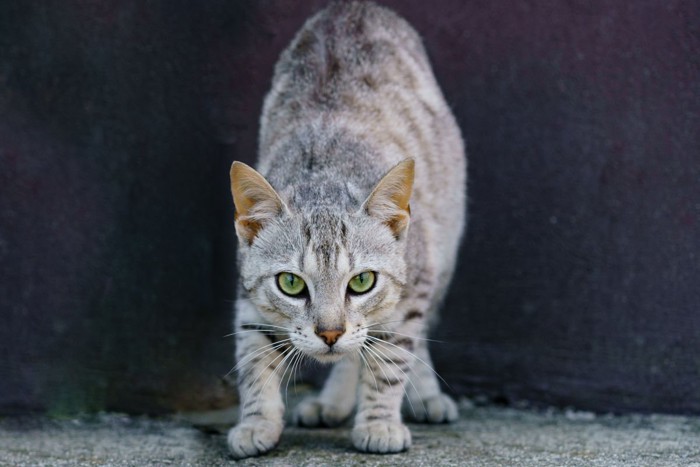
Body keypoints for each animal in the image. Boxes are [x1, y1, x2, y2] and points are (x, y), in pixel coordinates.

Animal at [228, 0, 464, 460]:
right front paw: (256, 422)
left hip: (444, 246)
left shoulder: (412, 285)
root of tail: (354, 7)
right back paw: (333, 401)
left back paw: (424, 395)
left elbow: (390, 359)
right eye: (290, 283)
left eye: (362, 281)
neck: (327, 172)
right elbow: (253, 359)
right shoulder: (248, 289)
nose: (330, 333)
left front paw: (379, 423)